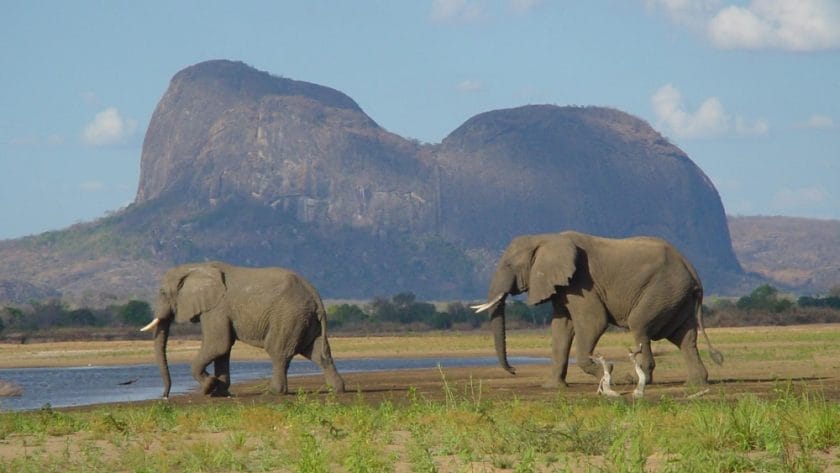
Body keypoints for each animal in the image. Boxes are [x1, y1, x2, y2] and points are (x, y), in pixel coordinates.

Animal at [141, 260, 344, 396]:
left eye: (162, 292)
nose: (165, 396)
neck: (196, 267)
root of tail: (315, 295)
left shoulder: (217, 308)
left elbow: (218, 344)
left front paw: (209, 386)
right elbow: (223, 349)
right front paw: (219, 391)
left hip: (289, 316)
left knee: (278, 352)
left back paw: (273, 392)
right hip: (306, 319)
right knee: (318, 353)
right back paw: (337, 389)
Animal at [472, 230, 720, 390]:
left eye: (508, 265)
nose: (514, 370)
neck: (546, 238)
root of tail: (690, 267)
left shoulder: (581, 283)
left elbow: (593, 323)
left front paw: (607, 373)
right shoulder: (563, 287)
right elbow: (561, 328)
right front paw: (552, 387)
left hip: (663, 290)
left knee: (640, 326)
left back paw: (637, 380)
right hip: (677, 296)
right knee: (684, 337)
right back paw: (695, 383)